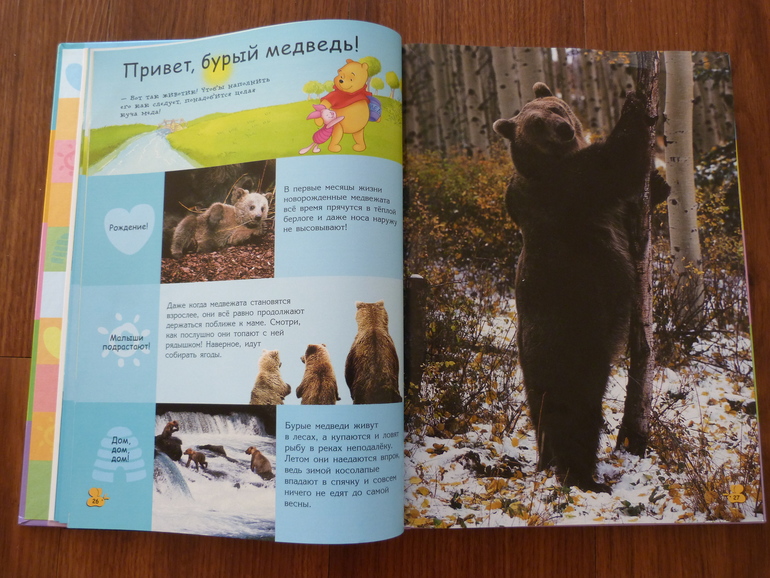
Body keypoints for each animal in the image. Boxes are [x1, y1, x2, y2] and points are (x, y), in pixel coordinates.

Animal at [493, 82, 669, 493]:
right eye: (536, 123)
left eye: (556, 108)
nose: (564, 129)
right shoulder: (566, 190)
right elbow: (613, 164)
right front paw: (634, 104)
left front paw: (660, 183)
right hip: (574, 344)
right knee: (576, 414)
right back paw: (585, 477)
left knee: (542, 419)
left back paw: (547, 461)